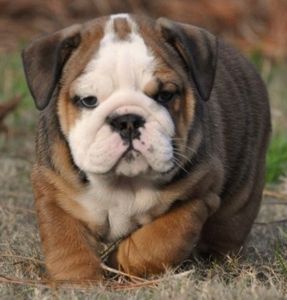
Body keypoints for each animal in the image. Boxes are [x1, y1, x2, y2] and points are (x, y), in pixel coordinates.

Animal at [21, 13, 272, 282]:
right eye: (88, 100)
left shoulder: (196, 197)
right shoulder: (55, 194)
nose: (128, 121)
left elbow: (159, 242)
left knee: (229, 227)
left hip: (242, 195)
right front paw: (76, 281)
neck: (123, 181)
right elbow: (66, 243)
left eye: (165, 95)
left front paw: (118, 261)